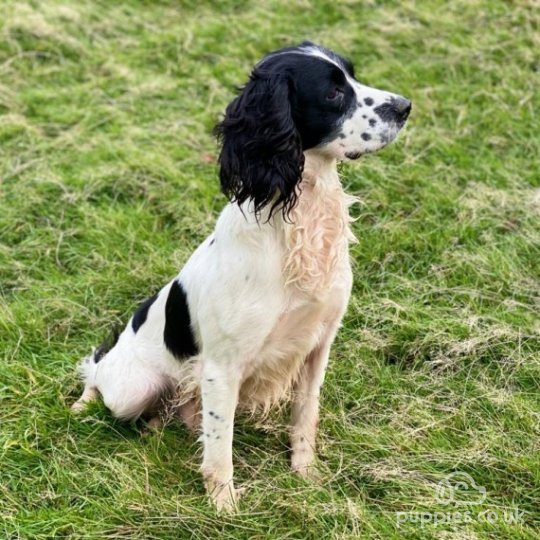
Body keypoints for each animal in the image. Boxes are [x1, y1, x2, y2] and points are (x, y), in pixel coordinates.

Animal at [71, 42, 410, 510]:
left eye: (353, 76)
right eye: (333, 93)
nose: (406, 106)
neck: (297, 219)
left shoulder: (318, 344)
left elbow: (306, 415)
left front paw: (306, 475)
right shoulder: (221, 367)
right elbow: (220, 446)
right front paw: (224, 505)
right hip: (132, 387)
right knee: (99, 372)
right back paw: (83, 403)